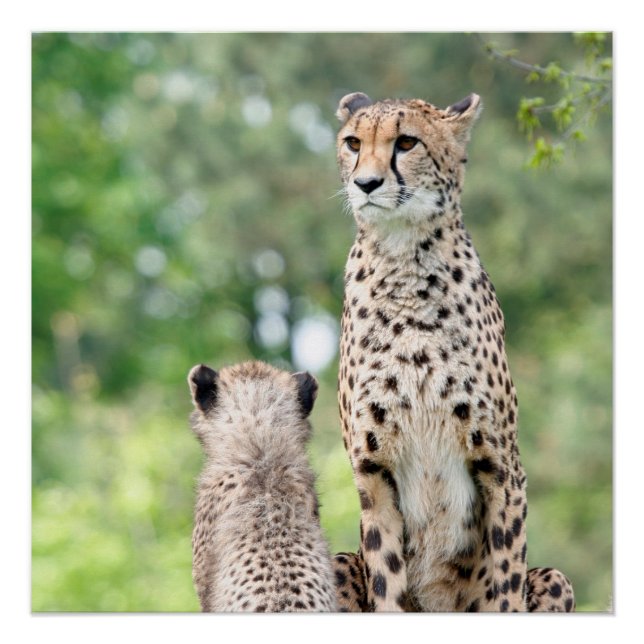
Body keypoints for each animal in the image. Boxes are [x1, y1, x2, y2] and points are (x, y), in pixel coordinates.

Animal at [333, 91, 575, 613]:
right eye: (353, 143)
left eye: (407, 143)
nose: (366, 184)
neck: (402, 261)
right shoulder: (372, 472)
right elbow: (387, 581)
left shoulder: (502, 468)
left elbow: (504, 582)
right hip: (339, 563)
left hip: (556, 580)